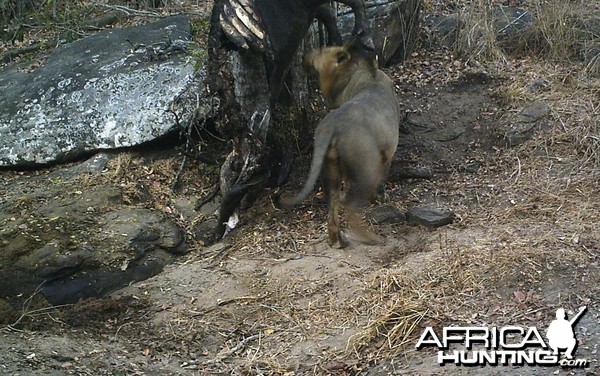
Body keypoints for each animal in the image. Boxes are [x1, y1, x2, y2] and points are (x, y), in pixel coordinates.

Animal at [276, 38, 398, 247]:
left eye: (321, 51)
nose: (304, 56)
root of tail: (331, 126)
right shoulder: (387, 154)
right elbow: (383, 178)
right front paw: (381, 197)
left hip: (329, 169)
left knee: (333, 206)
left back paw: (338, 240)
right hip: (365, 167)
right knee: (348, 205)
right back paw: (371, 238)